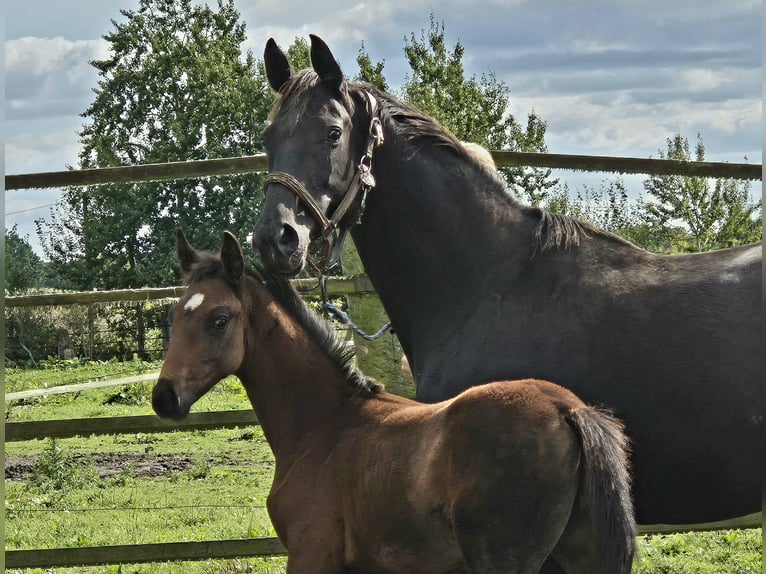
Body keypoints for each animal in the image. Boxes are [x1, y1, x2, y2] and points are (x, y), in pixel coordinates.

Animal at [153, 230, 635, 574]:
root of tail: (566, 410)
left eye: (219, 319)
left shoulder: (311, 556)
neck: (324, 423)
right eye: (175, 314)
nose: (164, 398)